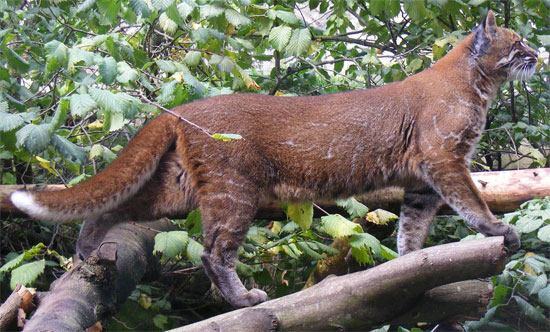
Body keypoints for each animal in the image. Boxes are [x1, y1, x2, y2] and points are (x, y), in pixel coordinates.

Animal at [11, 11, 540, 308]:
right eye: (517, 43)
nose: (538, 54)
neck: (477, 82)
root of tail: (182, 110)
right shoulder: (444, 159)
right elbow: (470, 199)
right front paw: (499, 230)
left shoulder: (422, 180)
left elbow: (412, 226)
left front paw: (410, 267)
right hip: (234, 190)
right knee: (214, 252)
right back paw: (244, 299)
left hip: (182, 185)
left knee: (119, 204)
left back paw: (88, 247)